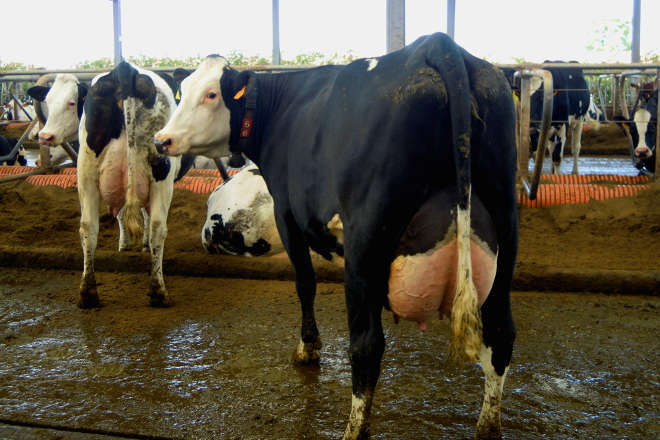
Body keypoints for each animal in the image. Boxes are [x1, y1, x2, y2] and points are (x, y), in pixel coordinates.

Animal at [77, 61, 182, 308]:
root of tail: (125, 69)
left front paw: (125, 245)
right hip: (161, 174)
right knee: (157, 227)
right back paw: (158, 292)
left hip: (86, 171)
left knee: (88, 227)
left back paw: (88, 294)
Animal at [155, 33, 518, 439]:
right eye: (184, 89)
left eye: (211, 94)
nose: (162, 140)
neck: (283, 109)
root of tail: (436, 44)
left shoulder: (286, 212)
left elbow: (305, 283)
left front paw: (308, 349)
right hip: (505, 223)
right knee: (501, 331)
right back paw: (488, 426)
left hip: (366, 238)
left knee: (367, 343)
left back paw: (354, 429)